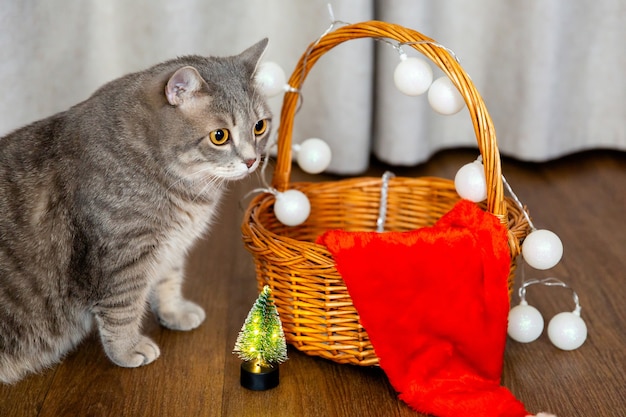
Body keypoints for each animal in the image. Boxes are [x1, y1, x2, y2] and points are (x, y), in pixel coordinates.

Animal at [1, 37, 272, 382]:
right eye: (219, 136)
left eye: (260, 126)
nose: (252, 160)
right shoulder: (124, 257)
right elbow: (123, 309)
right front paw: (128, 350)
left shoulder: (170, 246)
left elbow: (169, 280)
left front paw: (174, 311)